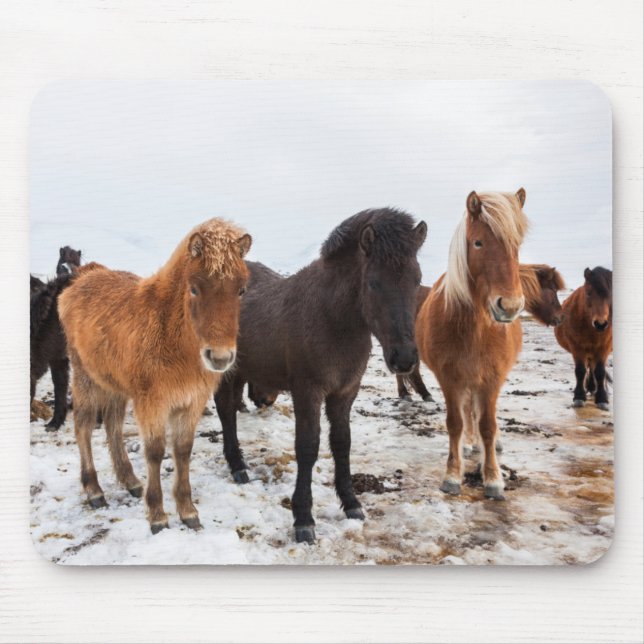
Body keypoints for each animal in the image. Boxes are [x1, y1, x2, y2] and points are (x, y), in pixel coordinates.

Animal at [58, 219, 251, 533]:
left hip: (116, 385)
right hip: (86, 377)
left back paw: (130, 481)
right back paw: (94, 490)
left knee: (112, 424)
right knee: (83, 426)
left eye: (241, 290)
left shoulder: (191, 402)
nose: (220, 357)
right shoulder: (152, 403)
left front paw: (187, 511)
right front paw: (158, 515)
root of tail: (83, 277)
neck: (170, 333)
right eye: (194, 289)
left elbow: (182, 450)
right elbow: (155, 452)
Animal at [214, 208, 427, 544]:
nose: (404, 358)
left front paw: (351, 503)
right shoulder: (307, 391)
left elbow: (342, 442)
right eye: (373, 283)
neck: (332, 319)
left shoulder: (345, 392)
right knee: (225, 410)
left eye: (416, 280)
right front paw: (303, 519)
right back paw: (237, 467)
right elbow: (308, 446)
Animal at [416, 189, 529, 501]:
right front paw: (453, 475)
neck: (475, 330)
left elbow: (487, 426)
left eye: (517, 245)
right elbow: (456, 423)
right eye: (478, 242)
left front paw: (493, 479)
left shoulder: (491, 379)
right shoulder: (450, 378)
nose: (509, 306)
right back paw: (469, 443)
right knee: (468, 414)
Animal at [554, 267, 612, 410]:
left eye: (610, 294)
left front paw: (602, 399)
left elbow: (600, 371)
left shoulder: (604, 347)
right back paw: (590, 387)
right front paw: (579, 397)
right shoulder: (577, 347)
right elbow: (580, 371)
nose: (600, 324)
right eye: (589, 293)